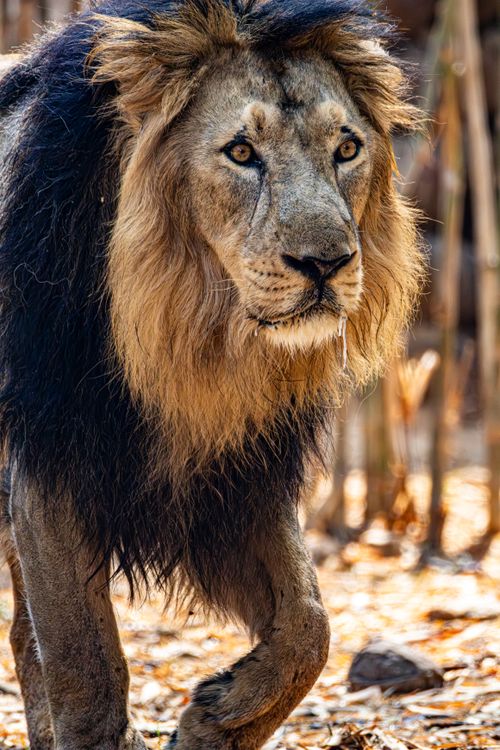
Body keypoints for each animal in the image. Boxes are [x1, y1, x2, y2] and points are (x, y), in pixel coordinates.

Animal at [0, 1, 423, 748]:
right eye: (241, 153)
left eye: (346, 150)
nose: (326, 263)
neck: (197, 342)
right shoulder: (50, 463)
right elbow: (86, 667)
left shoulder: (240, 477)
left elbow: (309, 625)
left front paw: (215, 721)